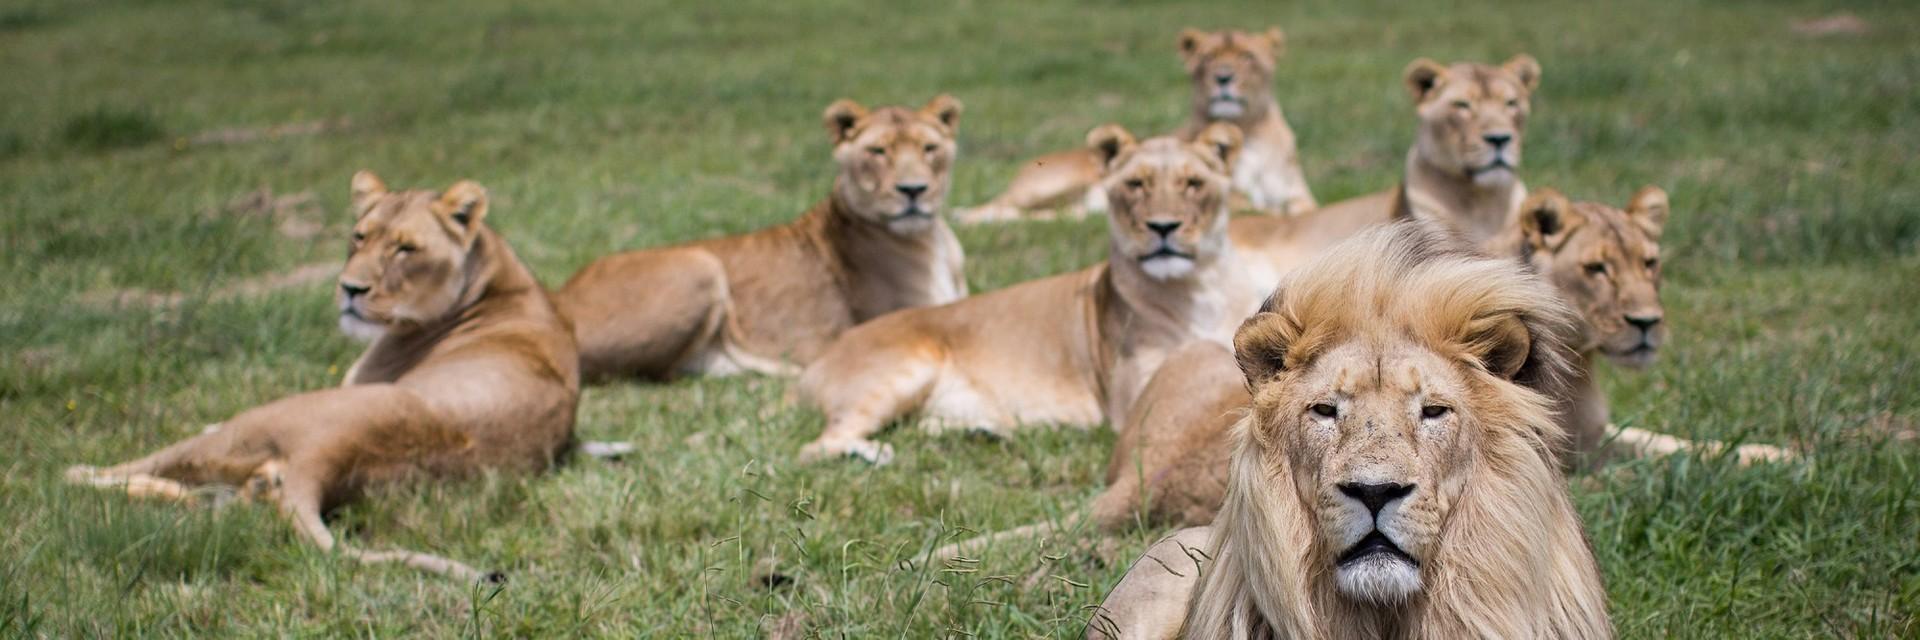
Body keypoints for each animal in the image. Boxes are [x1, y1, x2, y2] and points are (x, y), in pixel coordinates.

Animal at [64, 172, 580, 583]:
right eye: (359, 237)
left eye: (406, 248)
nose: (350, 289)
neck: (497, 278)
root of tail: (330, 453)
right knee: (198, 500)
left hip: (250, 424)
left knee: (122, 473)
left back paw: (75, 471)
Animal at [554, 95, 969, 381]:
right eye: (878, 151)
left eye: (929, 148)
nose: (913, 190)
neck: (932, 239)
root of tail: (557, 295)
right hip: (700, 263)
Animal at [794, 122, 1265, 464]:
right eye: (1135, 185)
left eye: (1193, 183)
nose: (1163, 227)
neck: (1200, 287)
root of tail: (818, 360)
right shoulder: (1141, 400)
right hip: (904, 369)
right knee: (815, 448)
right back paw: (875, 454)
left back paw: (987, 430)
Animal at [955, 27, 1315, 223]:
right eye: (1208, 58)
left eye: (1247, 57)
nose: (1222, 78)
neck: (1248, 131)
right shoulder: (1232, 195)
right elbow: (1261, 207)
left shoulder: (1301, 195)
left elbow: (1300, 207)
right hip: (1046, 185)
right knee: (992, 208)